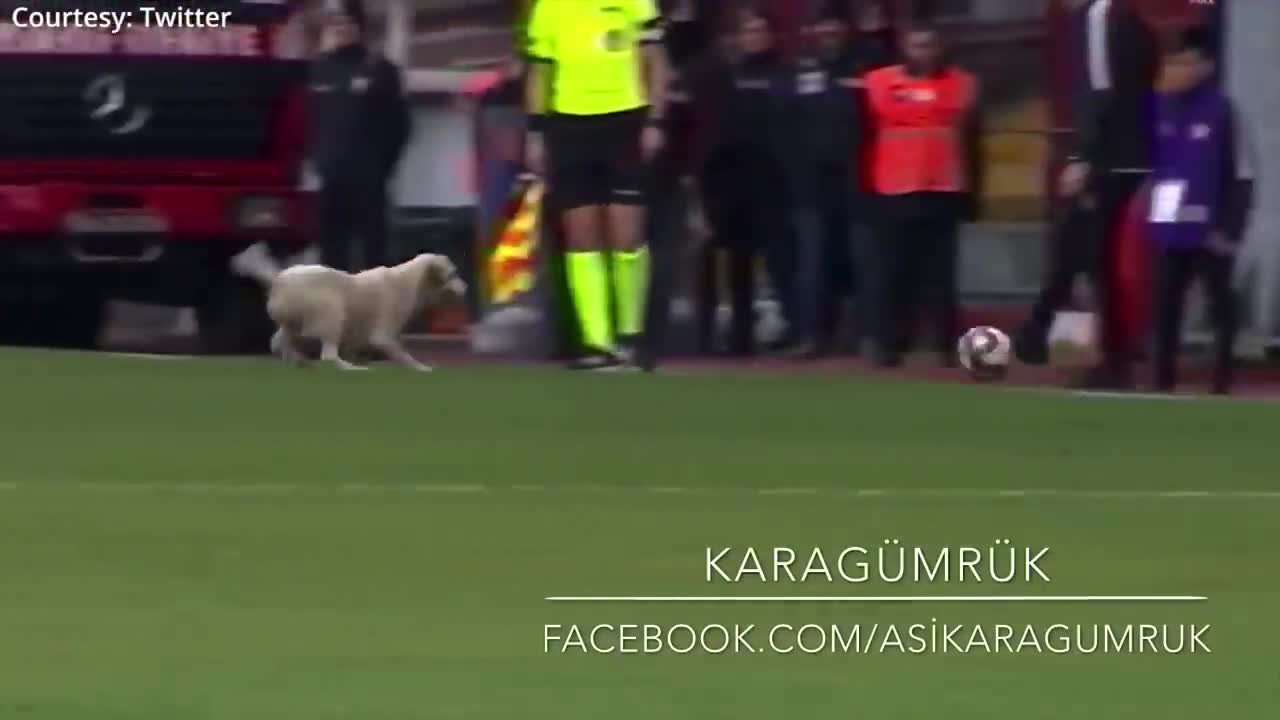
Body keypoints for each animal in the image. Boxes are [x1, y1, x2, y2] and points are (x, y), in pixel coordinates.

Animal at [232, 243, 468, 371]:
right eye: (453, 274)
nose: (466, 289)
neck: (409, 280)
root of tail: (278, 278)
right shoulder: (383, 334)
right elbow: (402, 354)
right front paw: (422, 368)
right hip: (332, 310)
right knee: (328, 355)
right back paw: (353, 369)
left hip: (292, 325)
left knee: (278, 343)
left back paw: (302, 363)